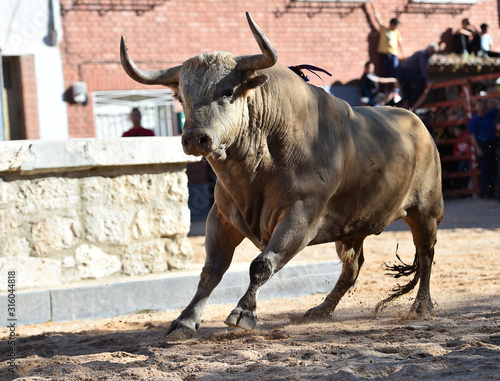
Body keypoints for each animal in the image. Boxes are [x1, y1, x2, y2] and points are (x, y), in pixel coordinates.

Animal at [121, 11, 446, 338]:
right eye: (182, 98)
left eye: (227, 91)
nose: (194, 138)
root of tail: (419, 124)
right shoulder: (222, 216)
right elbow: (211, 270)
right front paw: (185, 320)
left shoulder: (301, 215)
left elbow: (262, 264)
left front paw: (243, 312)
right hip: (354, 227)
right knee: (352, 268)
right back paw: (321, 310)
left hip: (425, 210)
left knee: (427, 255)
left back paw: (422, 306)